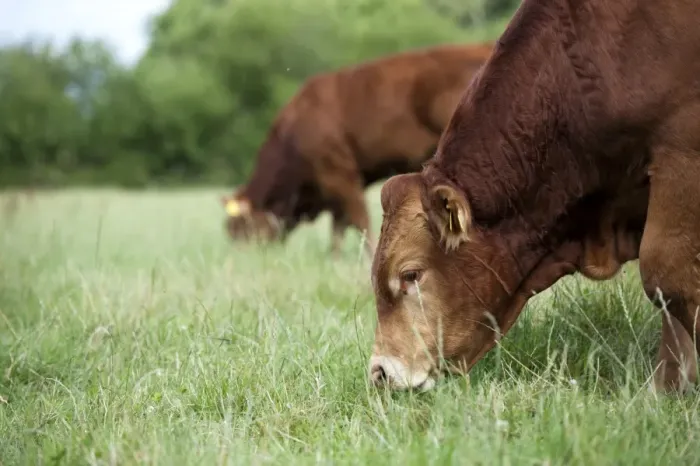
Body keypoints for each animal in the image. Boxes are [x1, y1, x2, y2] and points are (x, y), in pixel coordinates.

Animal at [220, 42, 494, 258]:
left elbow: (359, 220)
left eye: (238, 227)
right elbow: (338, 227)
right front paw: (336, 258)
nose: (241, 256)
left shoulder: (339, 174)